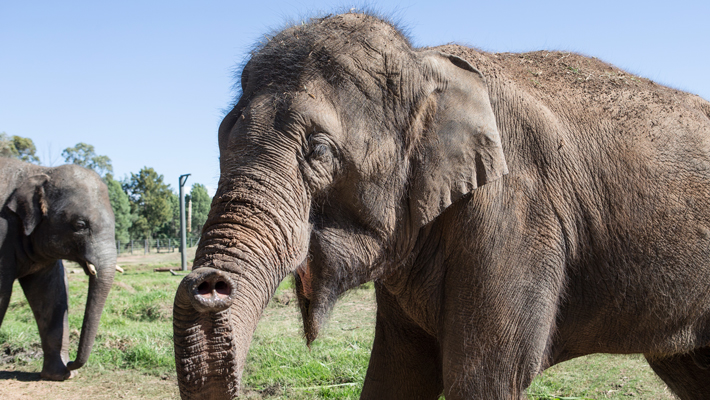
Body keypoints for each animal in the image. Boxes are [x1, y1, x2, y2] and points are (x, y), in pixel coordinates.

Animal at [175, 10, 710, 398]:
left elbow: (487, 377)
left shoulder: (516, 217)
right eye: (221, 139)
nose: (207, 283)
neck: (425, 65)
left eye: (320, 152)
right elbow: (397, 373)